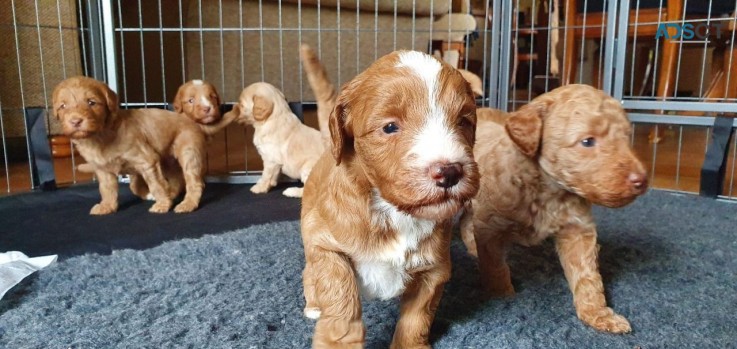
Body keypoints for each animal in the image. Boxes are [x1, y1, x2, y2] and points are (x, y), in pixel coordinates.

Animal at [53, 75, 206, 213]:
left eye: (91, 103)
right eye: (63, 106)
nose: (75, 121)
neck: (99, 136)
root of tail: (190, 119)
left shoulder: (147, 160)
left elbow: (157, 185)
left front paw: (162, 204)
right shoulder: (103, 169)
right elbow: (108, 189)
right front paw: (107, 206)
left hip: (189, 152)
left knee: (194, 182)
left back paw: (187, 204)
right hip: (168, 161)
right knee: (176, 180)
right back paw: (173, 195)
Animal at [300, 50, 480, 346]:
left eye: (463, 121)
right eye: (390, 127)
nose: (449, 172)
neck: (395, 212)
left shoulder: (435, 267)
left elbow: (417, 317)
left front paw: (409, 345)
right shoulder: (324, 243)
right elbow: (341, 302)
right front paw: (338, 342)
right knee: (309, 272)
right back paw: (313, 305)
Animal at [462, 83, 648, 332]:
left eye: (627, 137)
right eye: (587, 141)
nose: (641, 180)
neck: (548, 191)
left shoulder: (578, 229)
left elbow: (587, 274)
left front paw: (597, 313)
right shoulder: (491, 226)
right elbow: (495, 267)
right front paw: (503, 294)